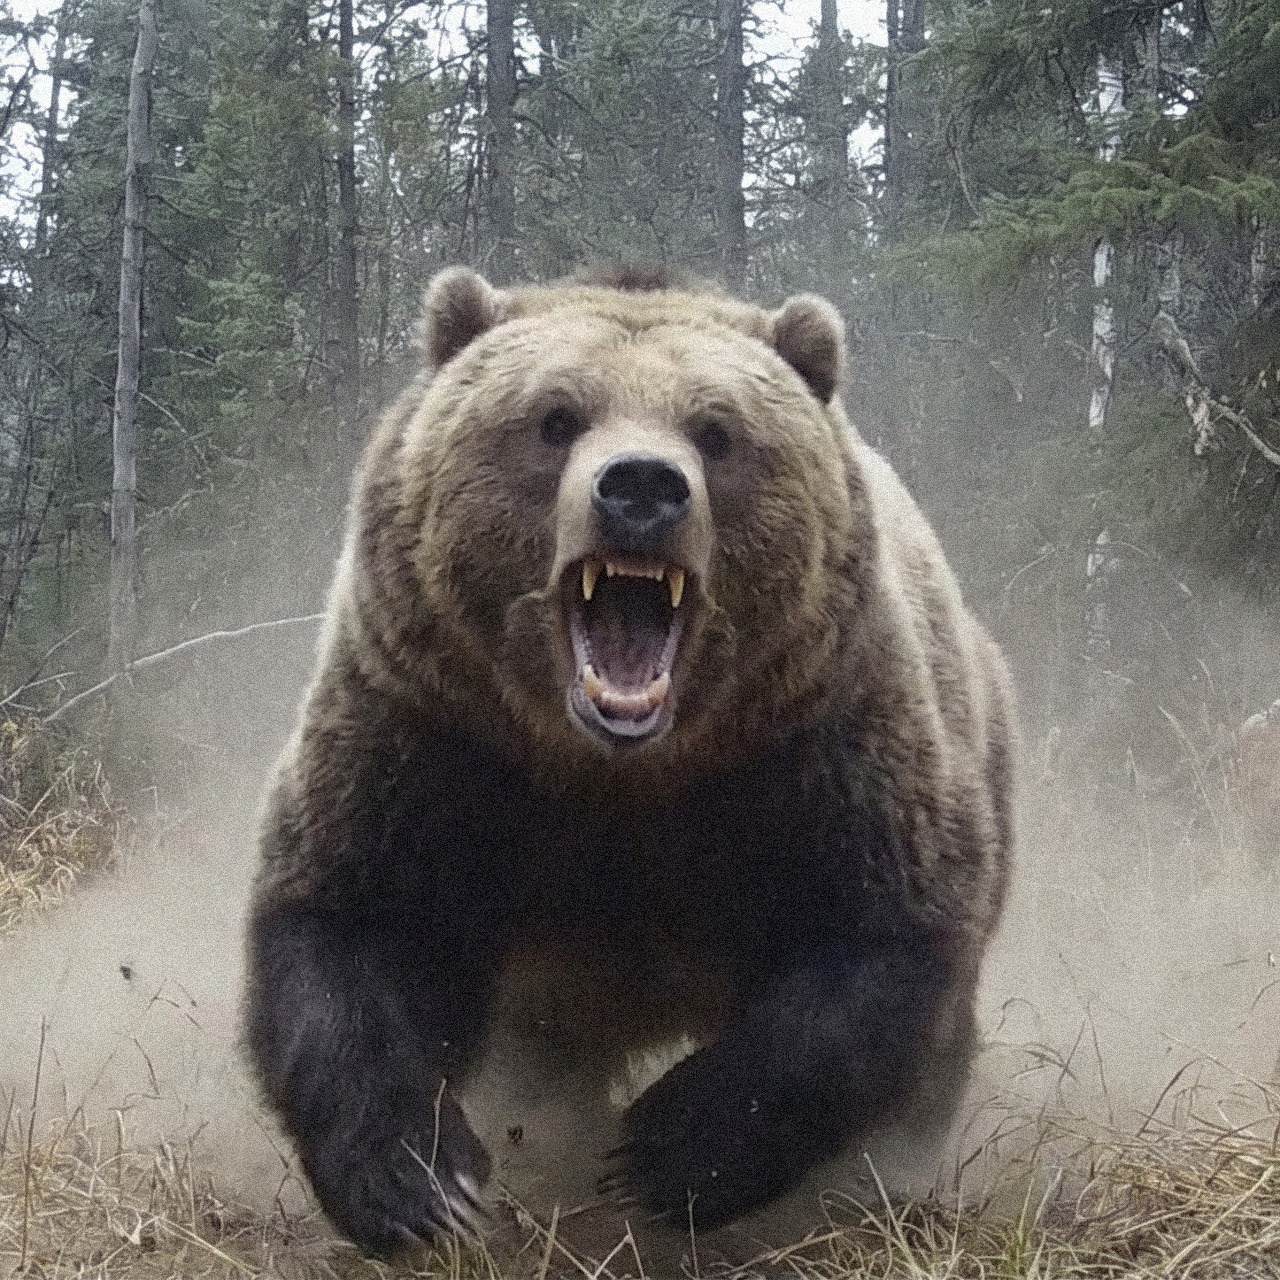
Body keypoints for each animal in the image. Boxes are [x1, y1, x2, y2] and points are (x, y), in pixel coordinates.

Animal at [243, 264, 1014, 1258]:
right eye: (555, 417)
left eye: (718, 431)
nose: (641, 487)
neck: (621, 770)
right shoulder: (435, 734)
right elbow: (354, 917)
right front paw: (423, 1184)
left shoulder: (816, 745)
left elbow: (877, 936)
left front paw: (666, 1153)